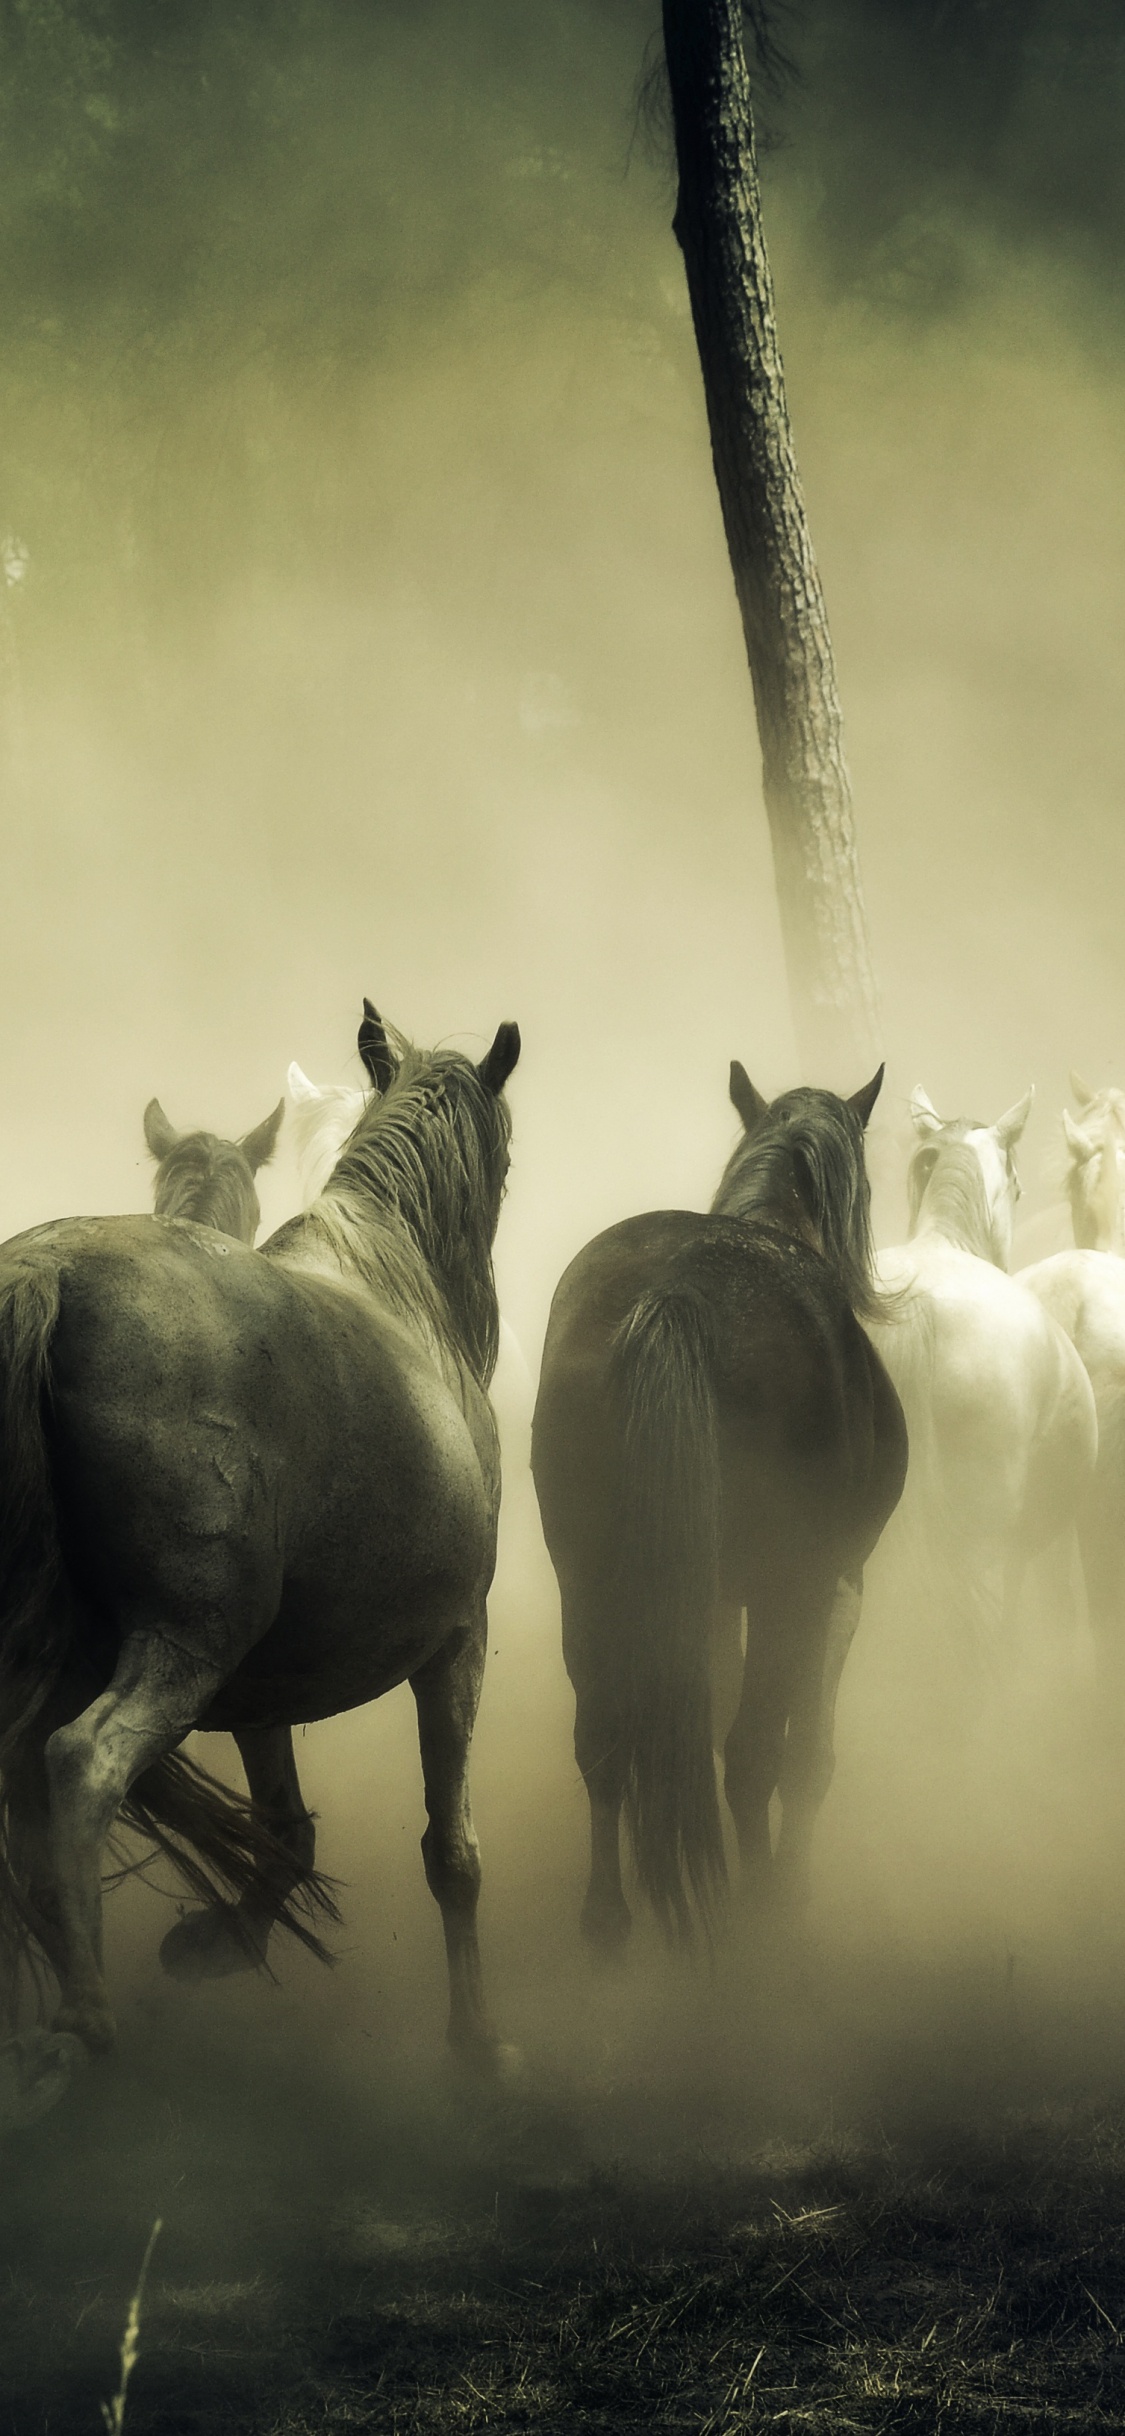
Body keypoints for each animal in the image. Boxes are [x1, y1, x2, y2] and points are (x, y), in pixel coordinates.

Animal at [0, 1004, 520, 2080]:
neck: (399, 1284)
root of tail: (49, 1272)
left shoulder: (262, 1683)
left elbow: (284, 1833)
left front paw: (215, 1942)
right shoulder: (458, 1642)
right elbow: (451, 1852)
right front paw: (478, 2046)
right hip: (185, 1645)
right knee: (79, 1762)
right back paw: (83, 2017)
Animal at [531, 1062, 907, 1952]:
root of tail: (678, 1292)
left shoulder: (704, 1597)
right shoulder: (834, 1585)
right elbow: (805, 1756)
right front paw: (790, 1886)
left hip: (588, 1576)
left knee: (603, 1738)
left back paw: (608, 1918)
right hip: (782, 1587)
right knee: (751, 1756)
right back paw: (757, 1915)